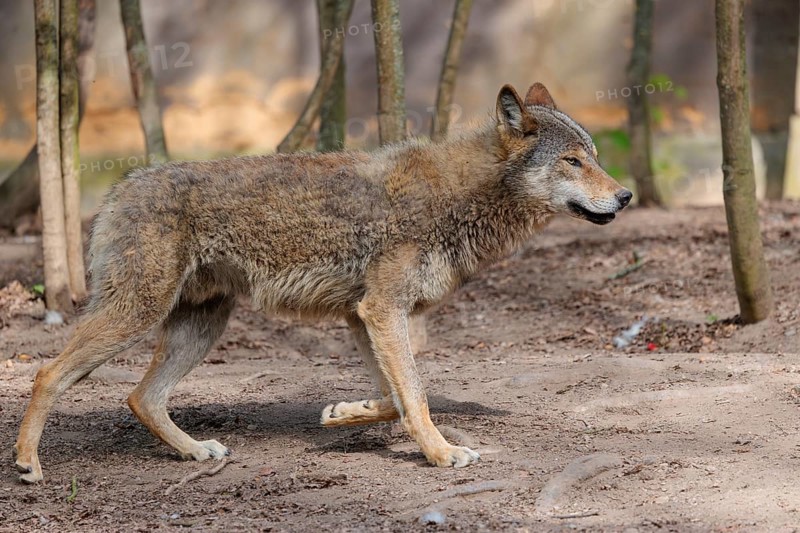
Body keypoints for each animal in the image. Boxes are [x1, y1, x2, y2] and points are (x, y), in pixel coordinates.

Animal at [14, 83, 631, 483]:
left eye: (596, 157)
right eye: (573, 162)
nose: (625, 196)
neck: (463, 196)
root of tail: (121, 187)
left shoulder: (363, 316)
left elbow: (394, 399)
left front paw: (344, 414)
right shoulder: (382, 311)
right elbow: (416, 396)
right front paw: (441, 454)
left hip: (200, 326)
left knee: (141, 396)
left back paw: (194, 451)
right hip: (137, 317)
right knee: (47, 373)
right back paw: (27, 463)